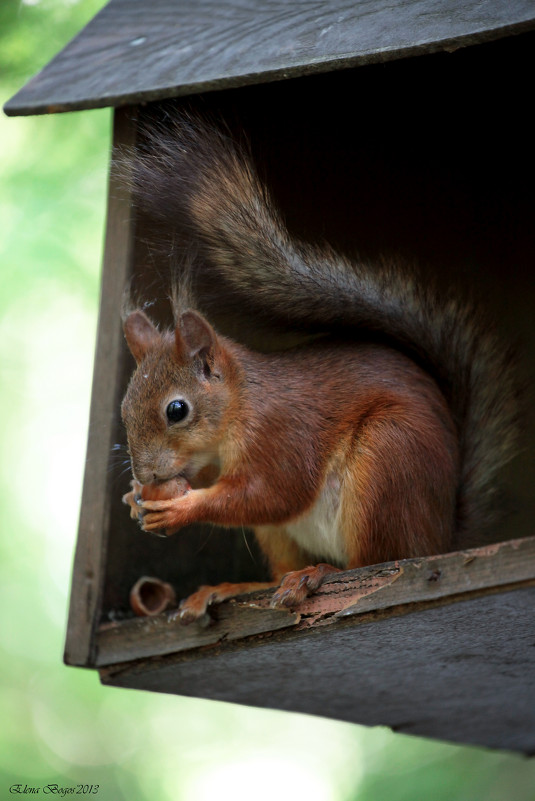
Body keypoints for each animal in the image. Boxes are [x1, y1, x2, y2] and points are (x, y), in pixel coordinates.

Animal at [119, 111, 516, 624]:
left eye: (177, 410)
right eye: (124, 410)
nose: (147, 475)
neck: (240, 408)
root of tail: (441, 539)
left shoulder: (283, 434)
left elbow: (271, 493)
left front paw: (181, 507)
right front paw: (135, 497)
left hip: (386, 464)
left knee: (376, 564)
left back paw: (318, 574)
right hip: (285, 532)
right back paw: (240, 585)